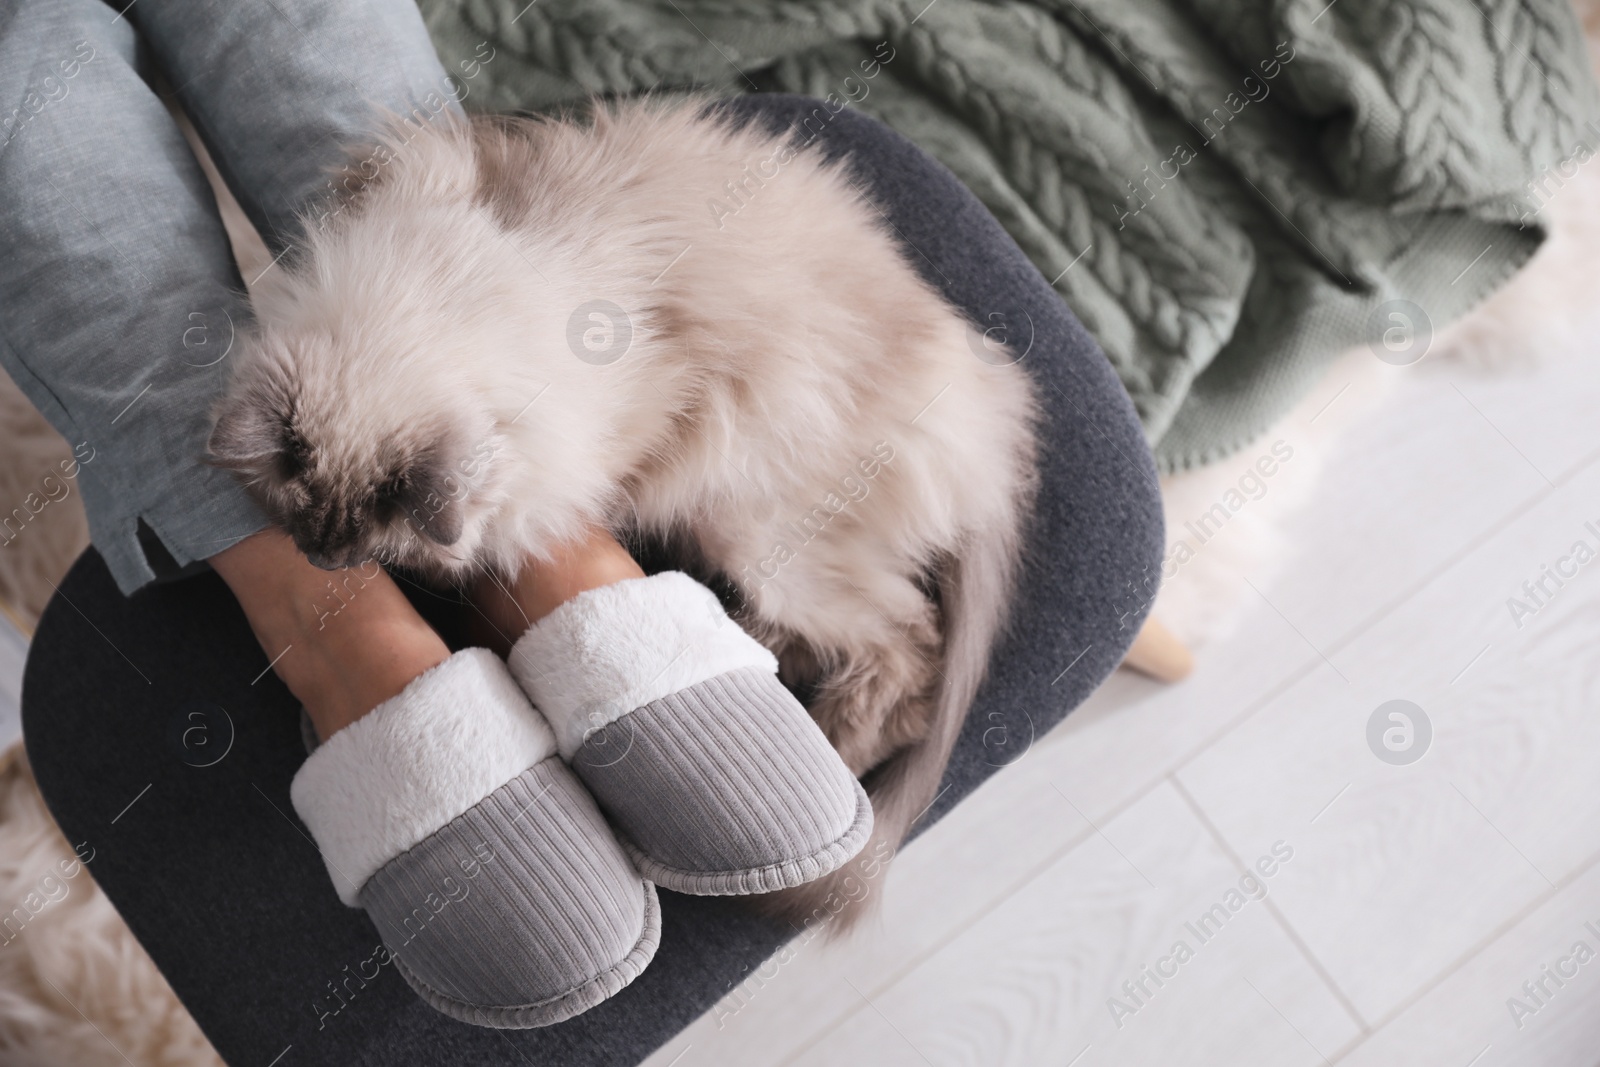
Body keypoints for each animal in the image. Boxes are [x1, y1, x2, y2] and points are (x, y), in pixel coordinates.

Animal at [209, 97, 1036, 927]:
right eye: (306, 522)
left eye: (369, 539)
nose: (323, 558)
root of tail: (992, 422)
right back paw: (750, 640)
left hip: (758, 532)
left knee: (908, 654)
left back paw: (834, 740)